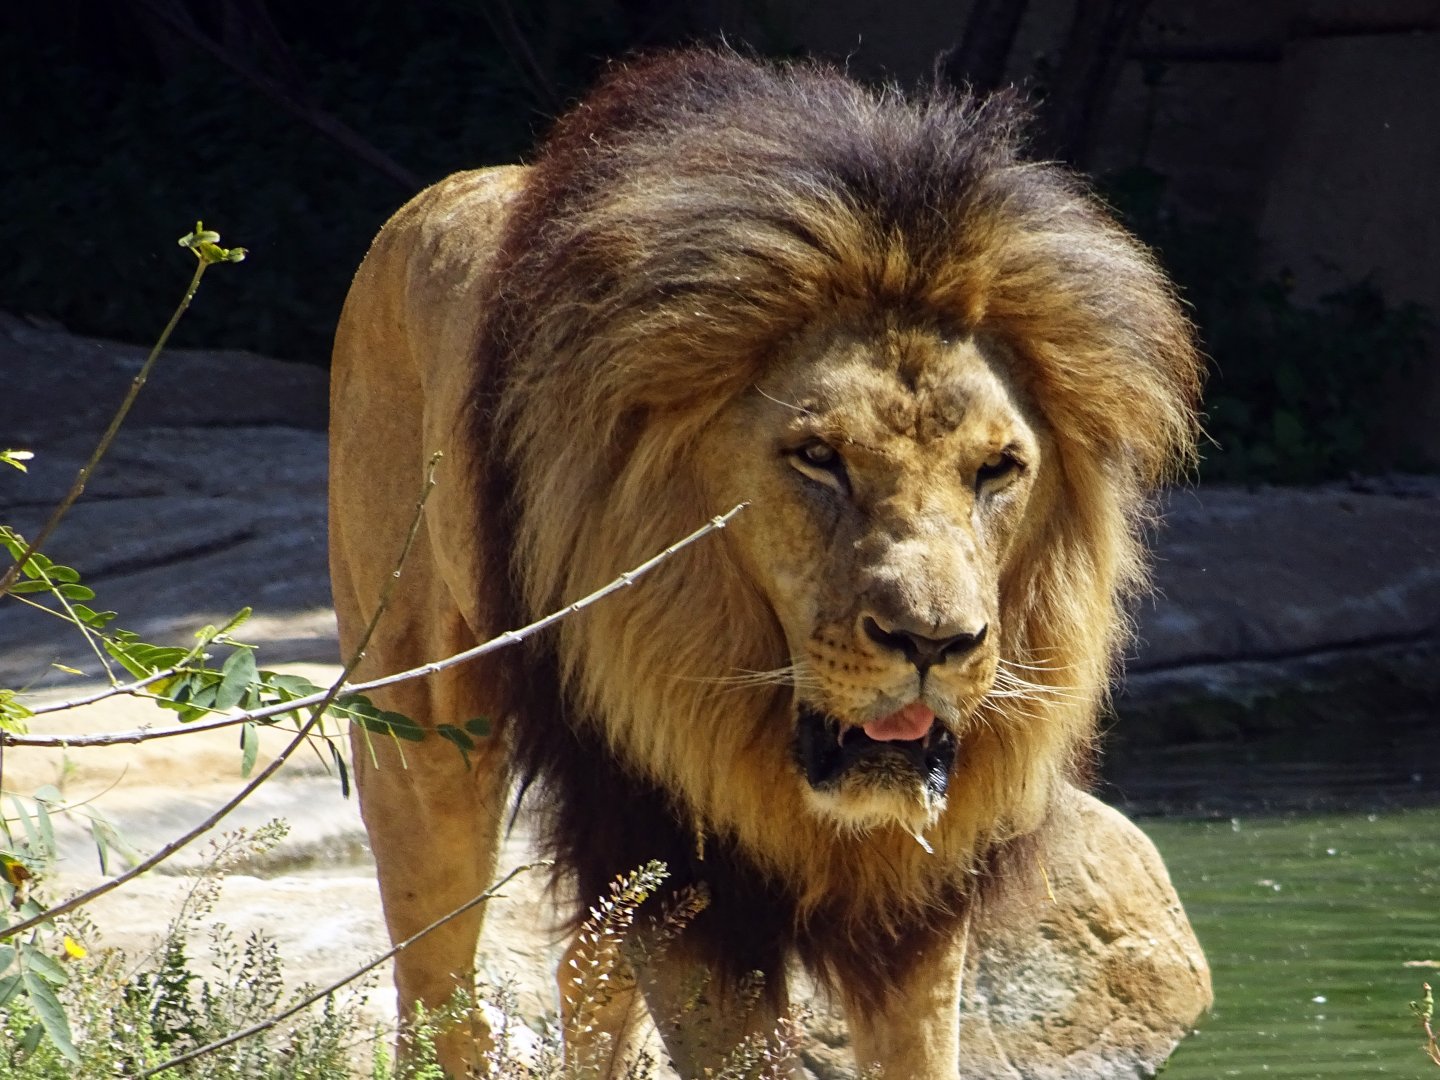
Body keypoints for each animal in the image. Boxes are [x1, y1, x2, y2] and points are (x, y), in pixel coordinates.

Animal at [329, 50, 1208, 1078]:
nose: (933, 644)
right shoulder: (686, 874)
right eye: (818, 458)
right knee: (442, 999)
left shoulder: (917, 897)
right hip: (416, 725)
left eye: (997, 469)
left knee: (584, 986)